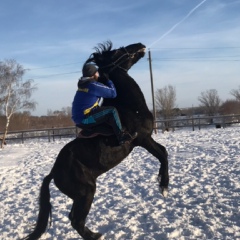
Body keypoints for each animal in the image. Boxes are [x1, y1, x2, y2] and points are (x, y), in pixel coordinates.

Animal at [23, 41, 169, 240]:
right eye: (116, 52)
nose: (139, 45)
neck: (129, 107)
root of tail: (53, 172)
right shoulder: (142, 139)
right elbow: (161, 155)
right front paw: (164, 187)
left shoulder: (147, 138)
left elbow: (164, 153)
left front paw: (163, 185)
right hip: (87, 191)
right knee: (76, 220)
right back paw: (94, 235)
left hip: (80, 195)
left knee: (74, 218)